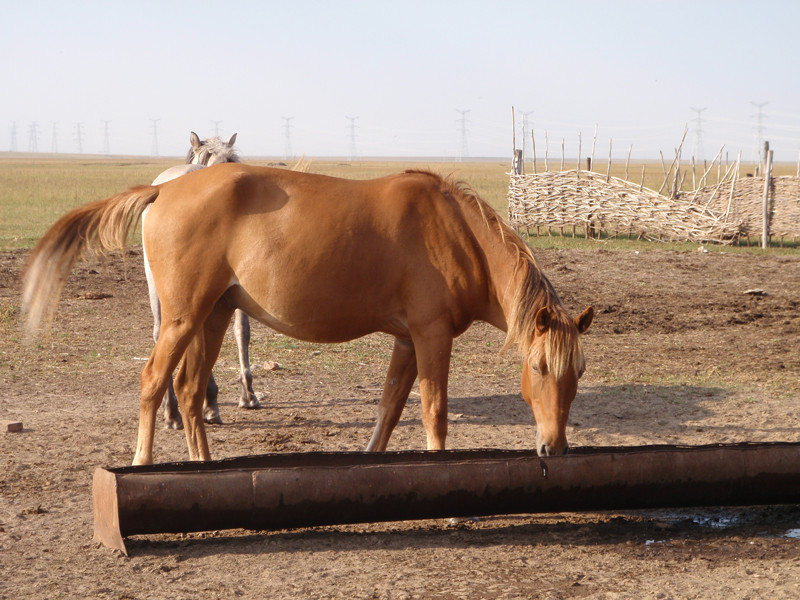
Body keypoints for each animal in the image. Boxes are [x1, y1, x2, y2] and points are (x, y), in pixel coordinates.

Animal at [22, 165, 593, 465]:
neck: (454, 232)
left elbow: (388, 409)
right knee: (153, 382)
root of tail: (165, 187)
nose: (555, 446)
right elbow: (434, 413)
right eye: (539, 367)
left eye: (579, 373)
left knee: (187, 390)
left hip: (213, 315)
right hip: (183, 318)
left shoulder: (406, 340)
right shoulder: (431, 336)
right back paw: (143, 466)